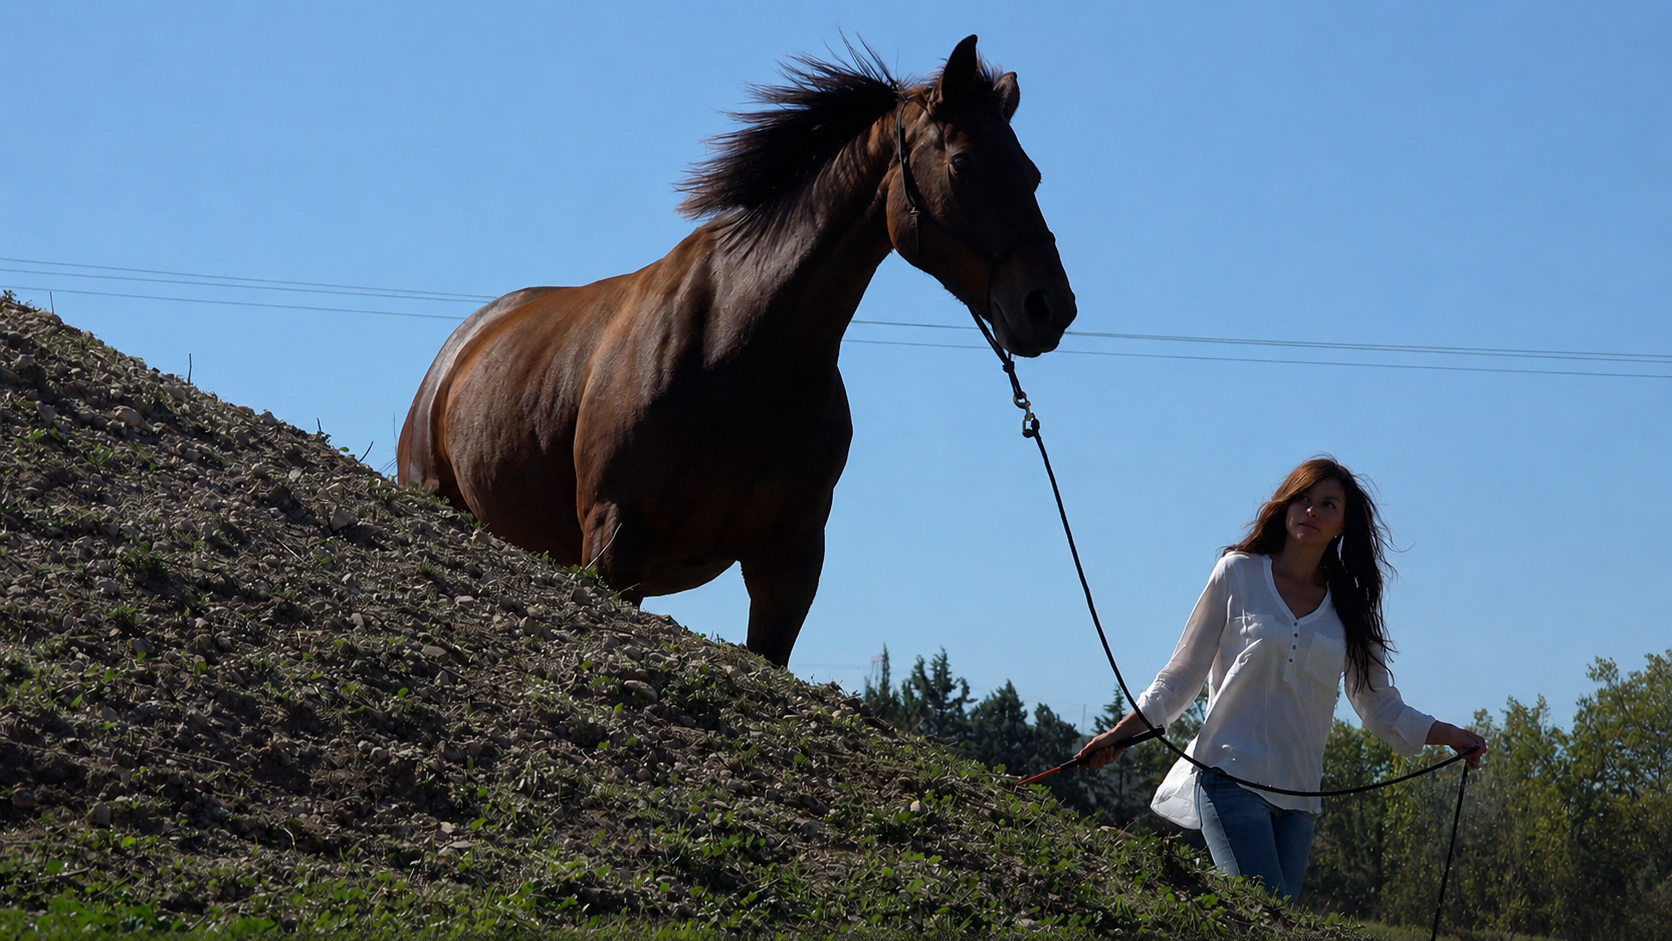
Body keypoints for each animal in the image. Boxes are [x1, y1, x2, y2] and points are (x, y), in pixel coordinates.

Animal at [397, 35, 1076, 666]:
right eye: (962, 161)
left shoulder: (789, 563)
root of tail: (460, 348)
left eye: (1034, 173)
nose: (1050, 306)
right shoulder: (616, 544)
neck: (739, 357)